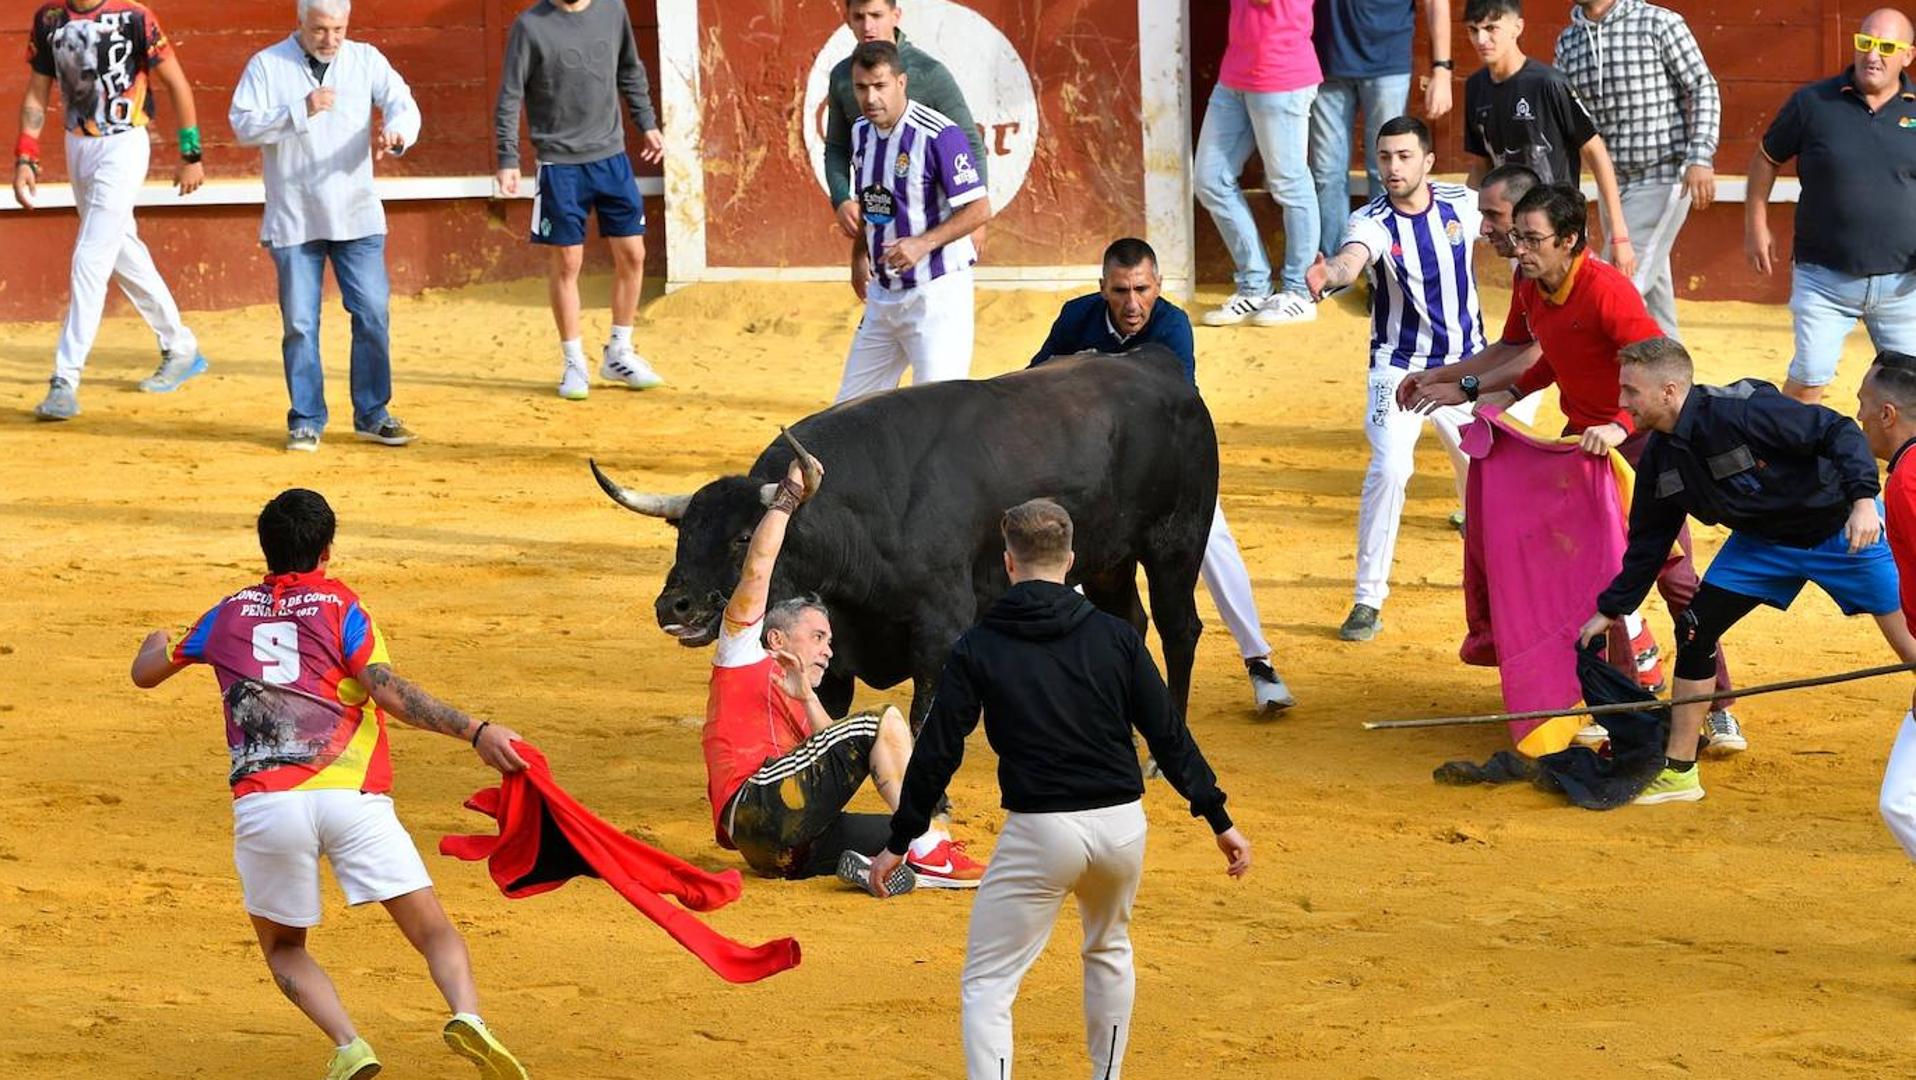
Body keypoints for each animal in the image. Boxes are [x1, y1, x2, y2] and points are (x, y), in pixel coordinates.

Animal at [582, 350, 1218, 731]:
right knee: (1130, 620)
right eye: (683, 533)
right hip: (1110, 558)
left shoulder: (941, 630)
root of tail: (1157, 365)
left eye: (744, 537)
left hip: (1176, 542)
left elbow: (922, 715)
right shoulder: (833, 644)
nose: (674, 605)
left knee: (1178, 626)